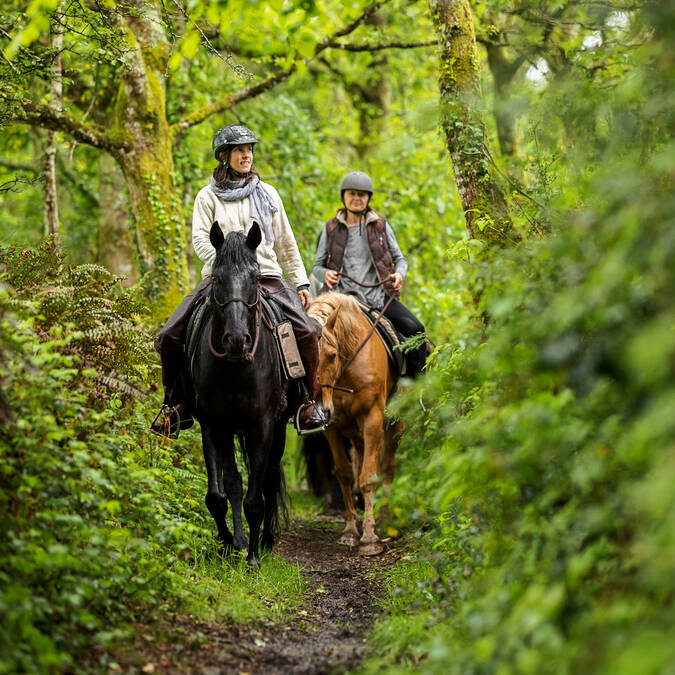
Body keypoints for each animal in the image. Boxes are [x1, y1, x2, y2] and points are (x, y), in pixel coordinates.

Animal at [191, 223, 294, 572]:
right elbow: (218, 495)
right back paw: (239, 541)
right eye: (217, 277)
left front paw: (254, 559)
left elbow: (255, 499)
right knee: (235, 482)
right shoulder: (213, 425)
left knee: (268, 481)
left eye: (256, 277)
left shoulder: (261, 427)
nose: (237, 340)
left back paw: (265, 542)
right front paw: (227, 545)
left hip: (277, 430)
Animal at [310, 294, 402, 556]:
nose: (321, 408)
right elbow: (344, 473)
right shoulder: (331, 427)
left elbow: (369, 477)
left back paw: (386, 519)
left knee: (388, 467)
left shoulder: (372, 419)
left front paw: (370, 538)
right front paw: (351, 531)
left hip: (394, 425)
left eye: (332, 355)